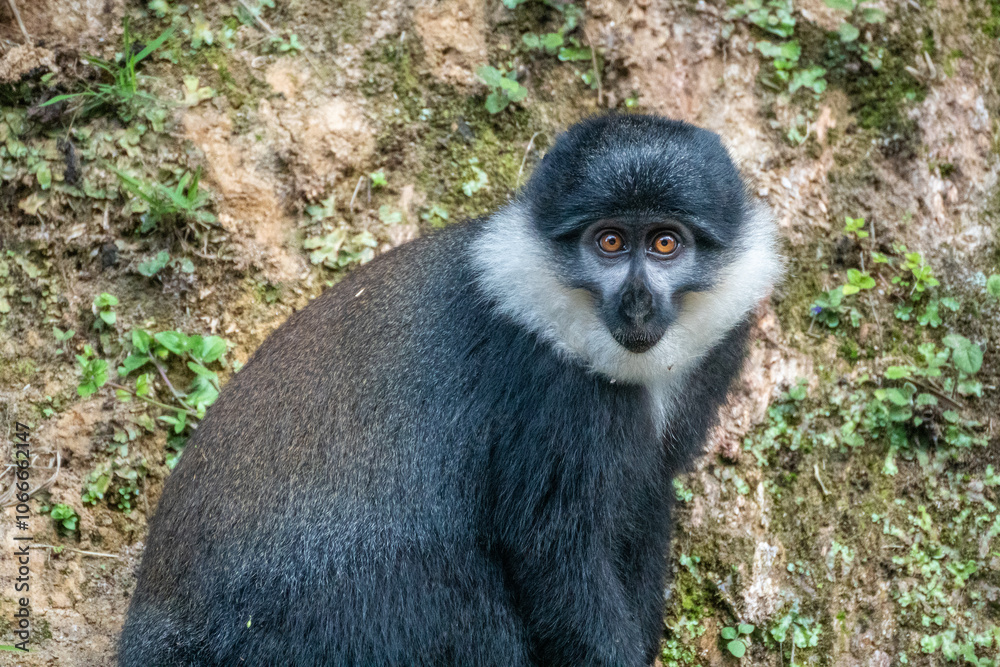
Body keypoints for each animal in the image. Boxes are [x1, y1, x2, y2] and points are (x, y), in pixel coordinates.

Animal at [118, 114, 781, 667]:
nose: (638, 301)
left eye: (666, 242)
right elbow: (555, 553)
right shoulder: (548, 388)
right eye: (610, 242)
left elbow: (643, 503)